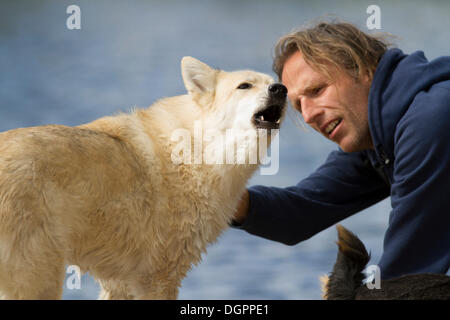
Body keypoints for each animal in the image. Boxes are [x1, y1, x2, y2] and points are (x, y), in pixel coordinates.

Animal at [0, 56, 288, 298]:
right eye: (245, 86)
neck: (199, 149)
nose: (281, 89)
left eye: (273, 82)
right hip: (38, 280)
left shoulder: (120, 283)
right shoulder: (160, 278)